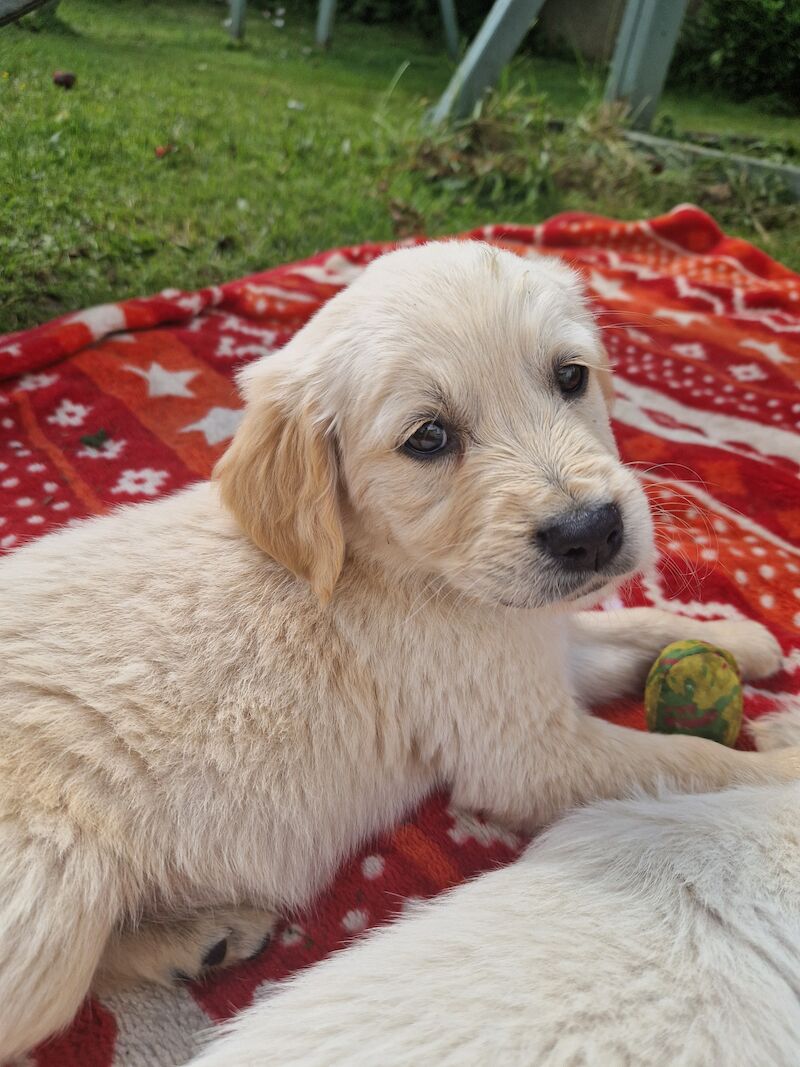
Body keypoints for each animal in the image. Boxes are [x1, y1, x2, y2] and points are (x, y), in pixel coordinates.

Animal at [0, 244, 793, 1058]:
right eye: (429, 438)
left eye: (570, 376)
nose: (592, 531)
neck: (399, 566)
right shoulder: (526, 752)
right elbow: (696, 763)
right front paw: (781, 762)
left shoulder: (540, 651)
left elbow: (633, 628)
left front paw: (739, 638)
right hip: (47, 901)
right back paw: (191, 934)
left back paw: (199, 937)